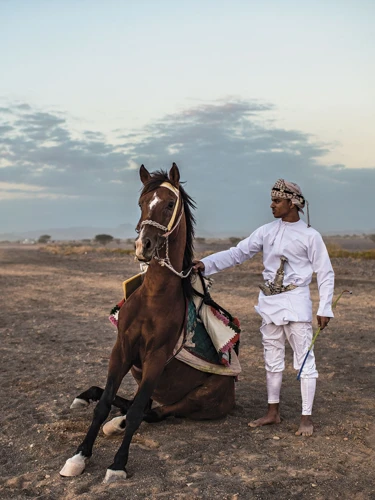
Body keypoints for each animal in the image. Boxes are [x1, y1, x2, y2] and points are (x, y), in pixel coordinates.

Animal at [61, 162, 238, 482]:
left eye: (169, 204)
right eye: (142, 203)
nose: (143, 245)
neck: (154, 298)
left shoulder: (156, 357)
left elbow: (136, 413)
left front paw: (117, 464)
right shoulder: (121, 350)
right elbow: (104, 404)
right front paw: (79, 456)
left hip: (198, 399)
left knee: (152, 411)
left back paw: (118, 424)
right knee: (135, 404)